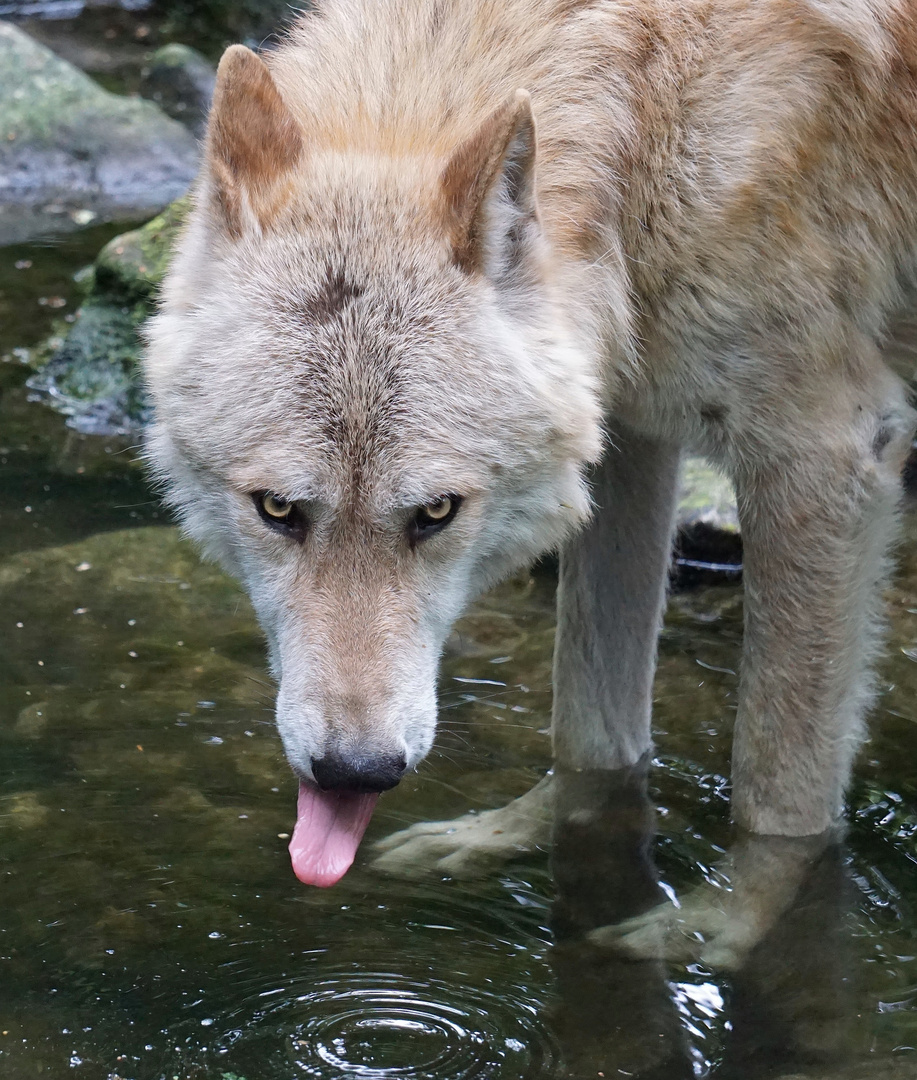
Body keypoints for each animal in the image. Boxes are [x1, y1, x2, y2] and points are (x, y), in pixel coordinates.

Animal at [141, 0, 915, 894]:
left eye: (436, 512)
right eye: (277, 509)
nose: (354, 774)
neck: (658, 105)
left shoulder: (828, 449)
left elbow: (778, 797)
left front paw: (715, 916)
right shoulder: (631, 431)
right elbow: (592, 733)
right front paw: (512, 838)